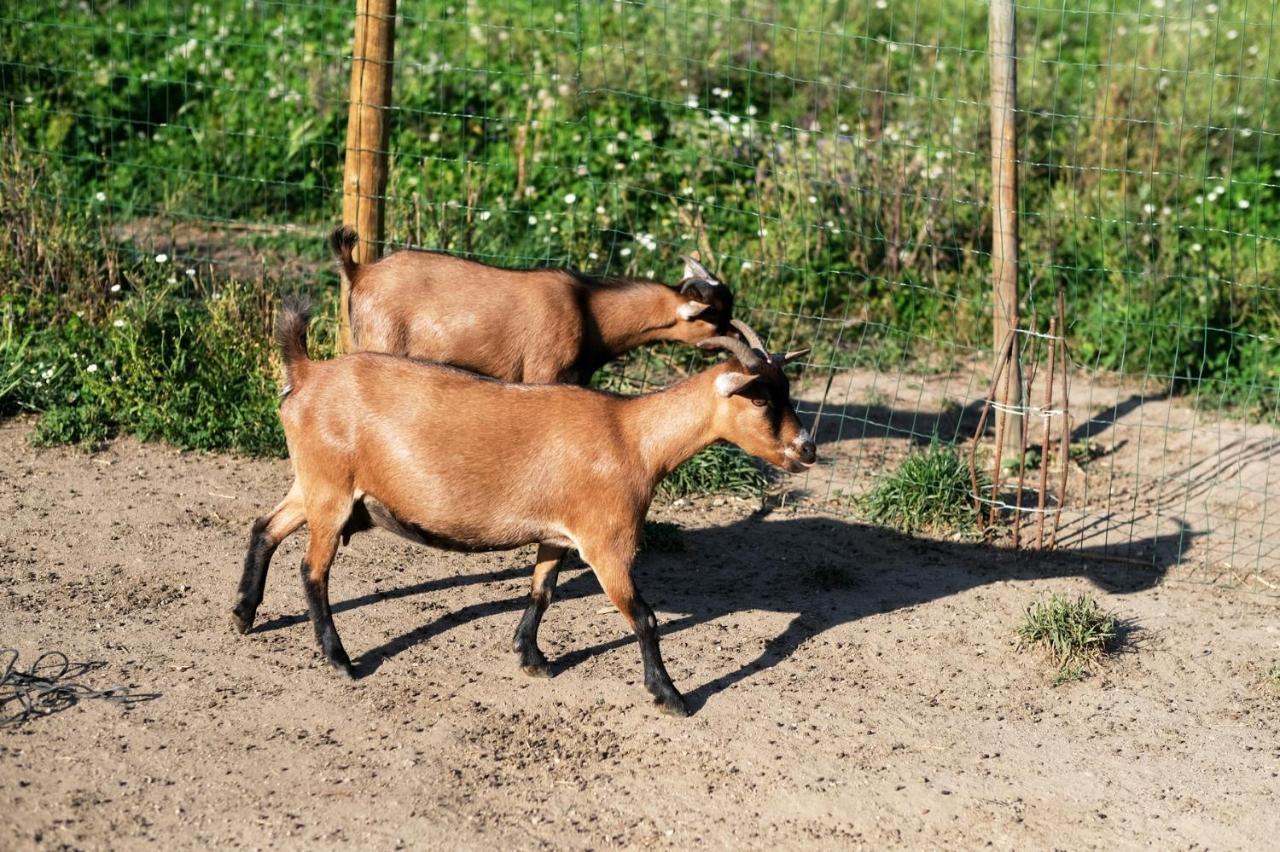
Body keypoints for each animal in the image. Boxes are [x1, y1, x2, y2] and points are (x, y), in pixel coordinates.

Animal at [234, 301, 814, 711]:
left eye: (786, 389)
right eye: (759, 396)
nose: (806, 449)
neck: (634, 439)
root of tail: (307, 373)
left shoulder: (558, 535)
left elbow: (542, 592)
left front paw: (532, 658)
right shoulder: (607, 544)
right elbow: (645, 618)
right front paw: (671, 696)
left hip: (314, 484)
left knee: (265, 526)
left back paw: (244, 614)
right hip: (331, 490)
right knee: (313, 569)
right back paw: (340, 660)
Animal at [325, 227, 737, 383]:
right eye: (714, 319)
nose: (740, 339)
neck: (590, 310)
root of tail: (360, 271)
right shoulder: (543, 372)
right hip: (380, 342)